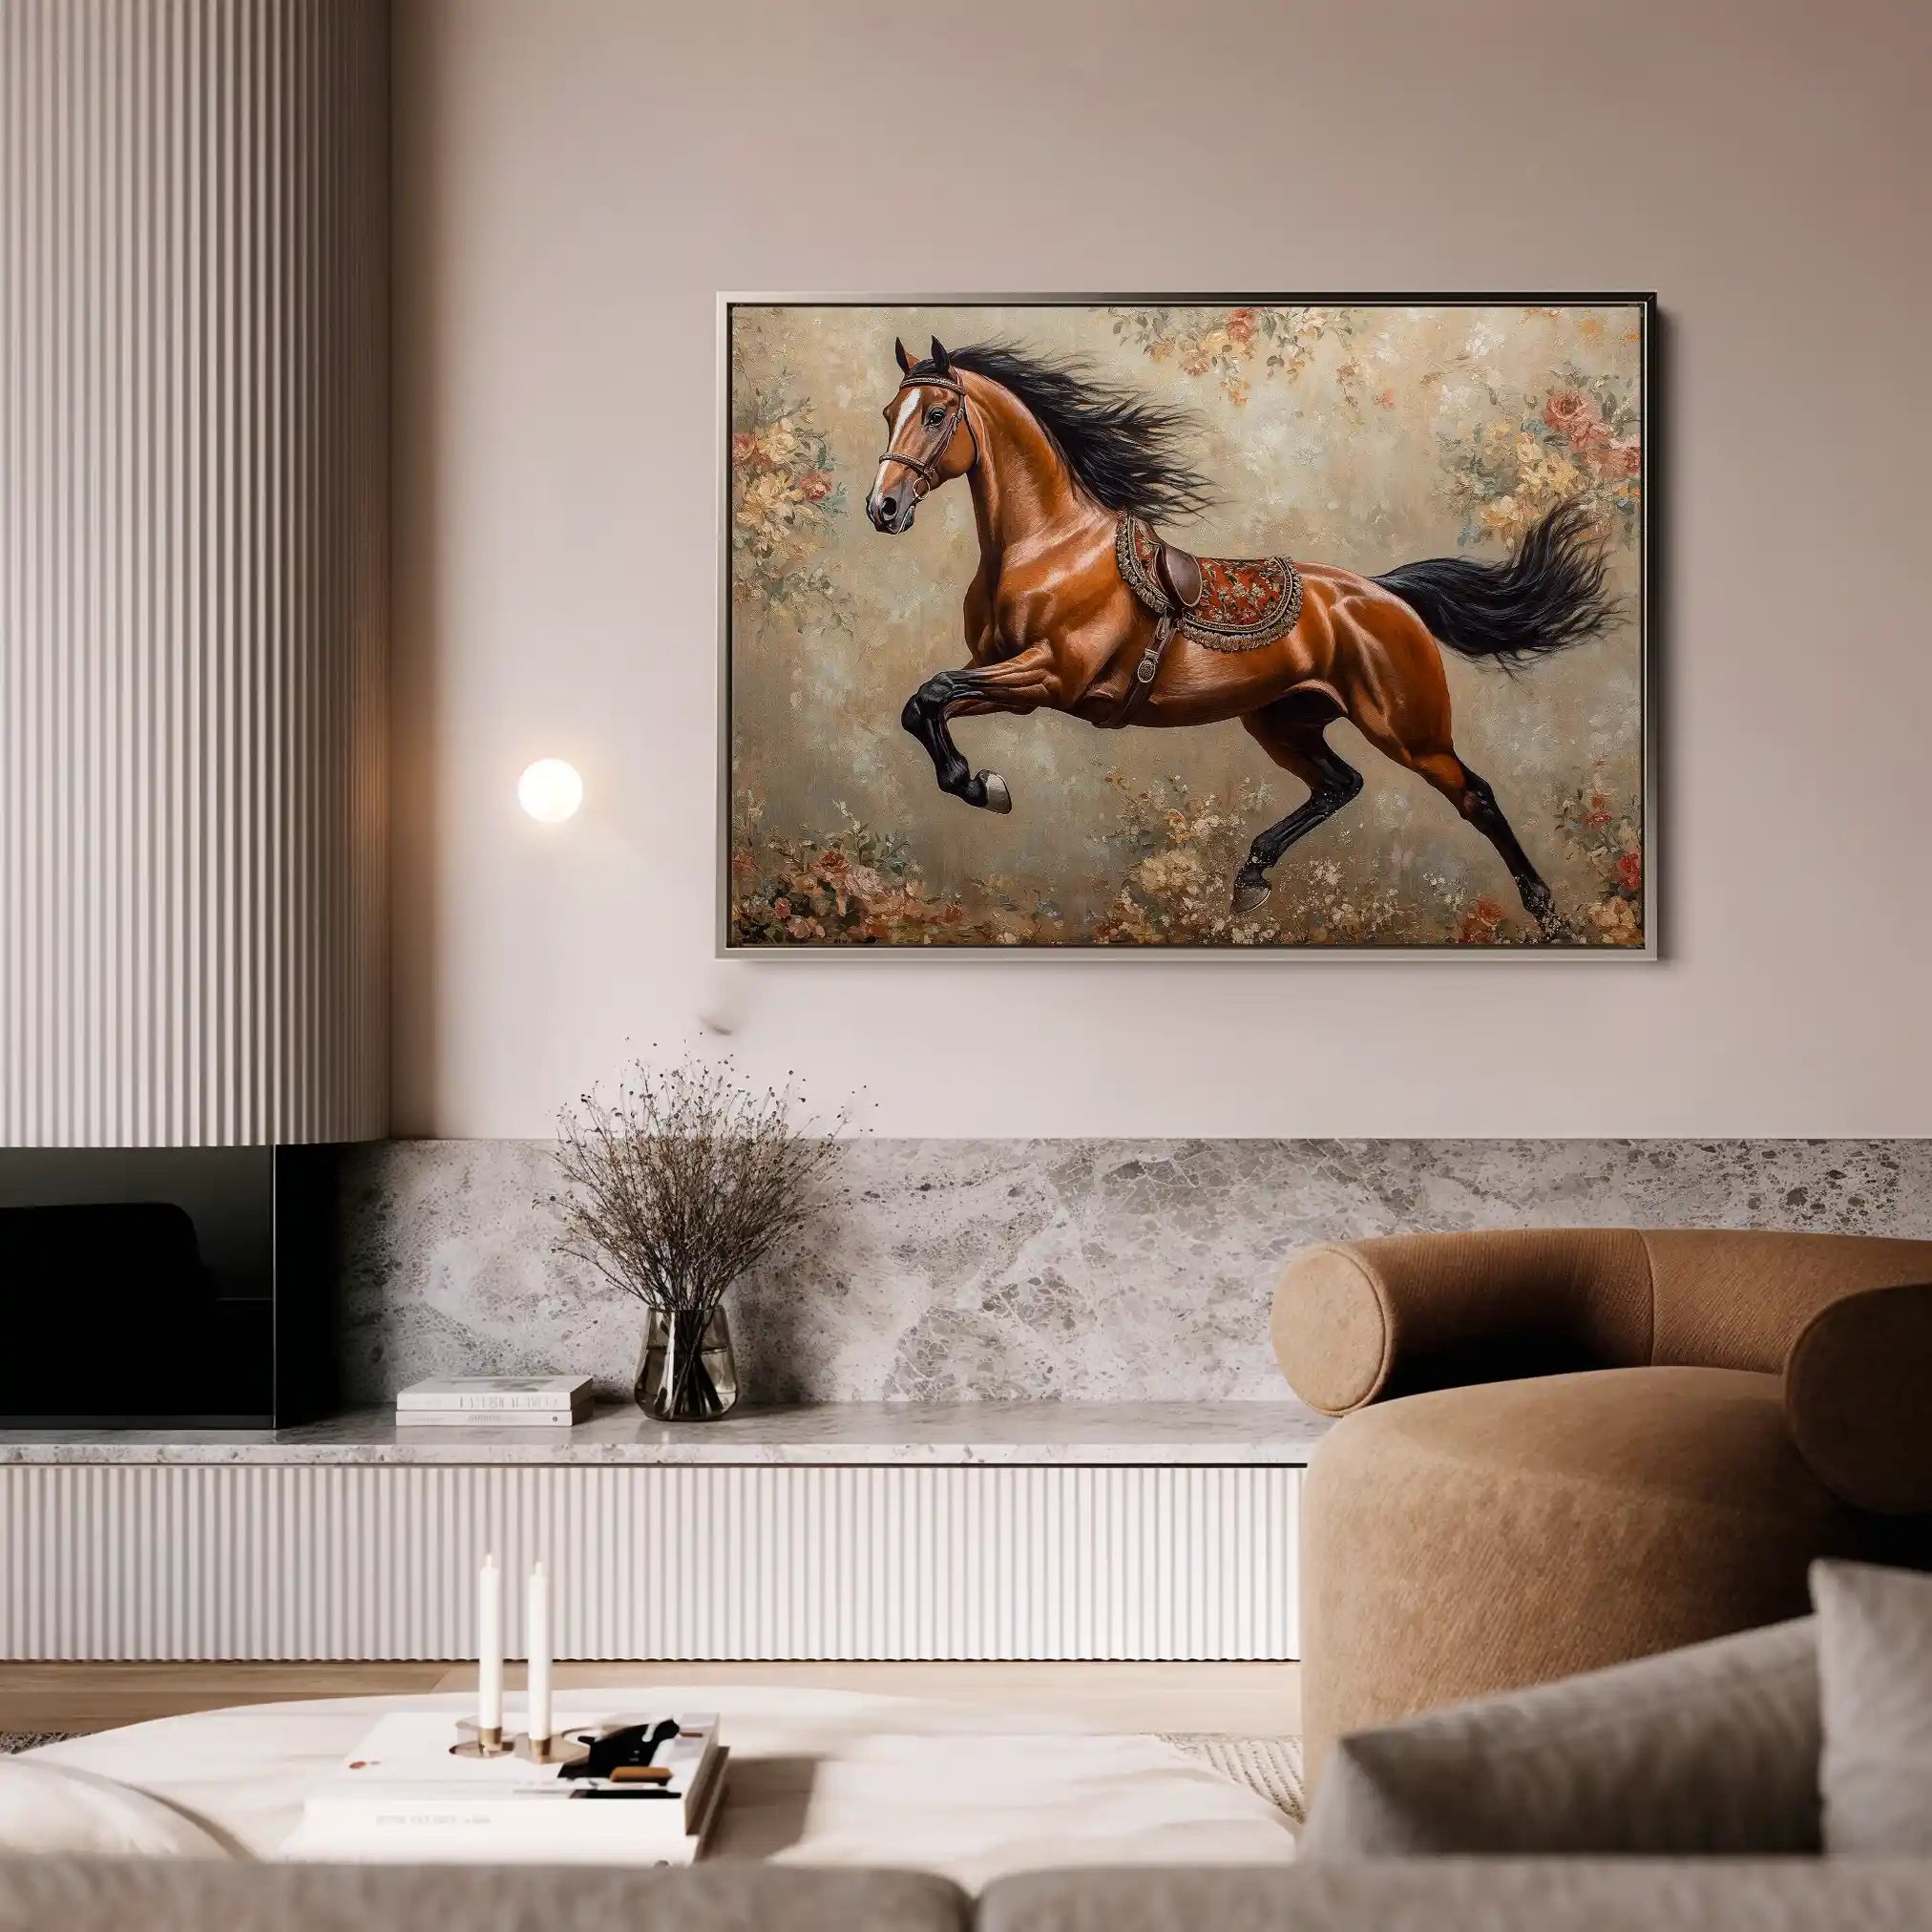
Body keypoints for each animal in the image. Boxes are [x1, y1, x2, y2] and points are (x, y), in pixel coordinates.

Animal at [864, 335, 1622, 942]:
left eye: (936, 414)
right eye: (889, 414)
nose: (883, 508)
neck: (1050, 547)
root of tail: (1385, 594)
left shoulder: (1050, 676)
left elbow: (931, 692)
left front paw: (980, 783)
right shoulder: (1004, 674)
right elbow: (921, 705)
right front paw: (977, 782)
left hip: (1409, 730)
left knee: (1476, 796)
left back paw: (1546, 910)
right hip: (1281, 720)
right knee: (1340, 785)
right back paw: (1251, 875)